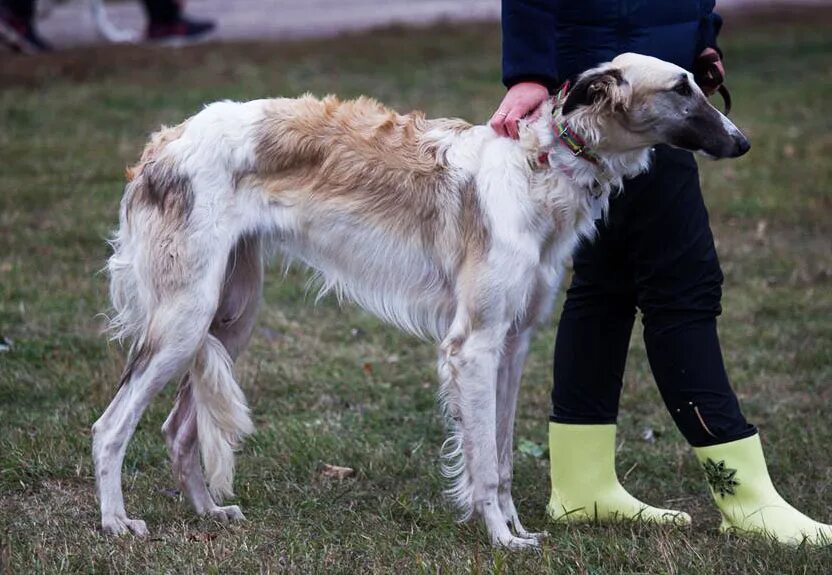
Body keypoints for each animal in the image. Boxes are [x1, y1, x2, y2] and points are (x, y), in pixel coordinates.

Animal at [91, 54, 748, 548]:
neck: (535, 166)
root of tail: (163, 143)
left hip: (227, 317)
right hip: (183, 320)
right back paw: (117, 521)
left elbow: (501, 458)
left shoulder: (514, 342)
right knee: (109, 426)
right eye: (682, 88)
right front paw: (501, 539)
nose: (741, 142)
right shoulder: (473, 344)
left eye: (699, 81)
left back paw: (208, 512)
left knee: (178, 428)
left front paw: (515, 529)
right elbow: (483, 460)